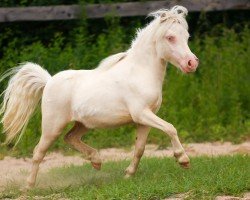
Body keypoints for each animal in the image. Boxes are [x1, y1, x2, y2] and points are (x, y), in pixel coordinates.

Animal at [0, 5, 199, 188]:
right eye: (170, 37)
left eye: (187, 37)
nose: (192, 63)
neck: (140, 72)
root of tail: (48, 81)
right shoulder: (141, 113)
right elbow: (170, 128)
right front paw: (183, 160)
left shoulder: (145, 119)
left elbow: (140, 148)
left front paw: (128, 174)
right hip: (52, 126)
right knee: (38, 152)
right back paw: (29, 186)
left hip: (83, 124)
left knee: (70, 138)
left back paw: (96, 161)